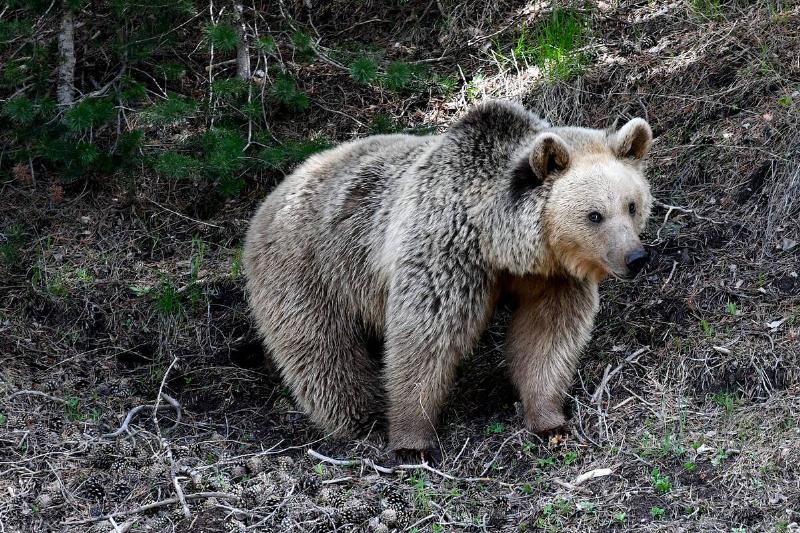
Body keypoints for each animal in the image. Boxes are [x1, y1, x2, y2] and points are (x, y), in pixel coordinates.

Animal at [243, 100, 653, 458]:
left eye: (632, 205)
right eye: (594, 215)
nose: (636, 258)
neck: (499, 243)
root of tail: (270, 197)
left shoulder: (551, 278)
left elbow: (546, 336)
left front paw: (550, 419)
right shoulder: (445, 252)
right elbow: (425, 340)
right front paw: (411, 440)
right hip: (309, 270)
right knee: (321, 349)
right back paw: (361, 416)